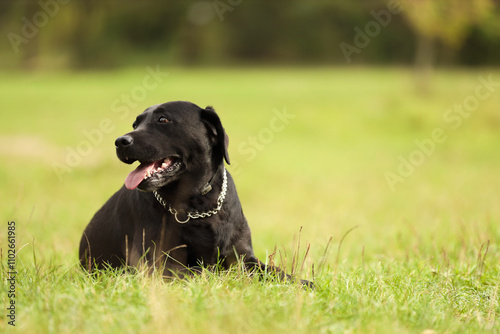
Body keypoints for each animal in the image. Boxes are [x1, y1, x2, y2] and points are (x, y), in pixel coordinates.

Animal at [79, 101, 308, 284]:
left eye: (163, 119)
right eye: (135, 125)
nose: (120, 141)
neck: (198, 202)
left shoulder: (244, 257)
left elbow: (276, 271)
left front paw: (306, 283)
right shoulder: (154, 263)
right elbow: (206, 272)